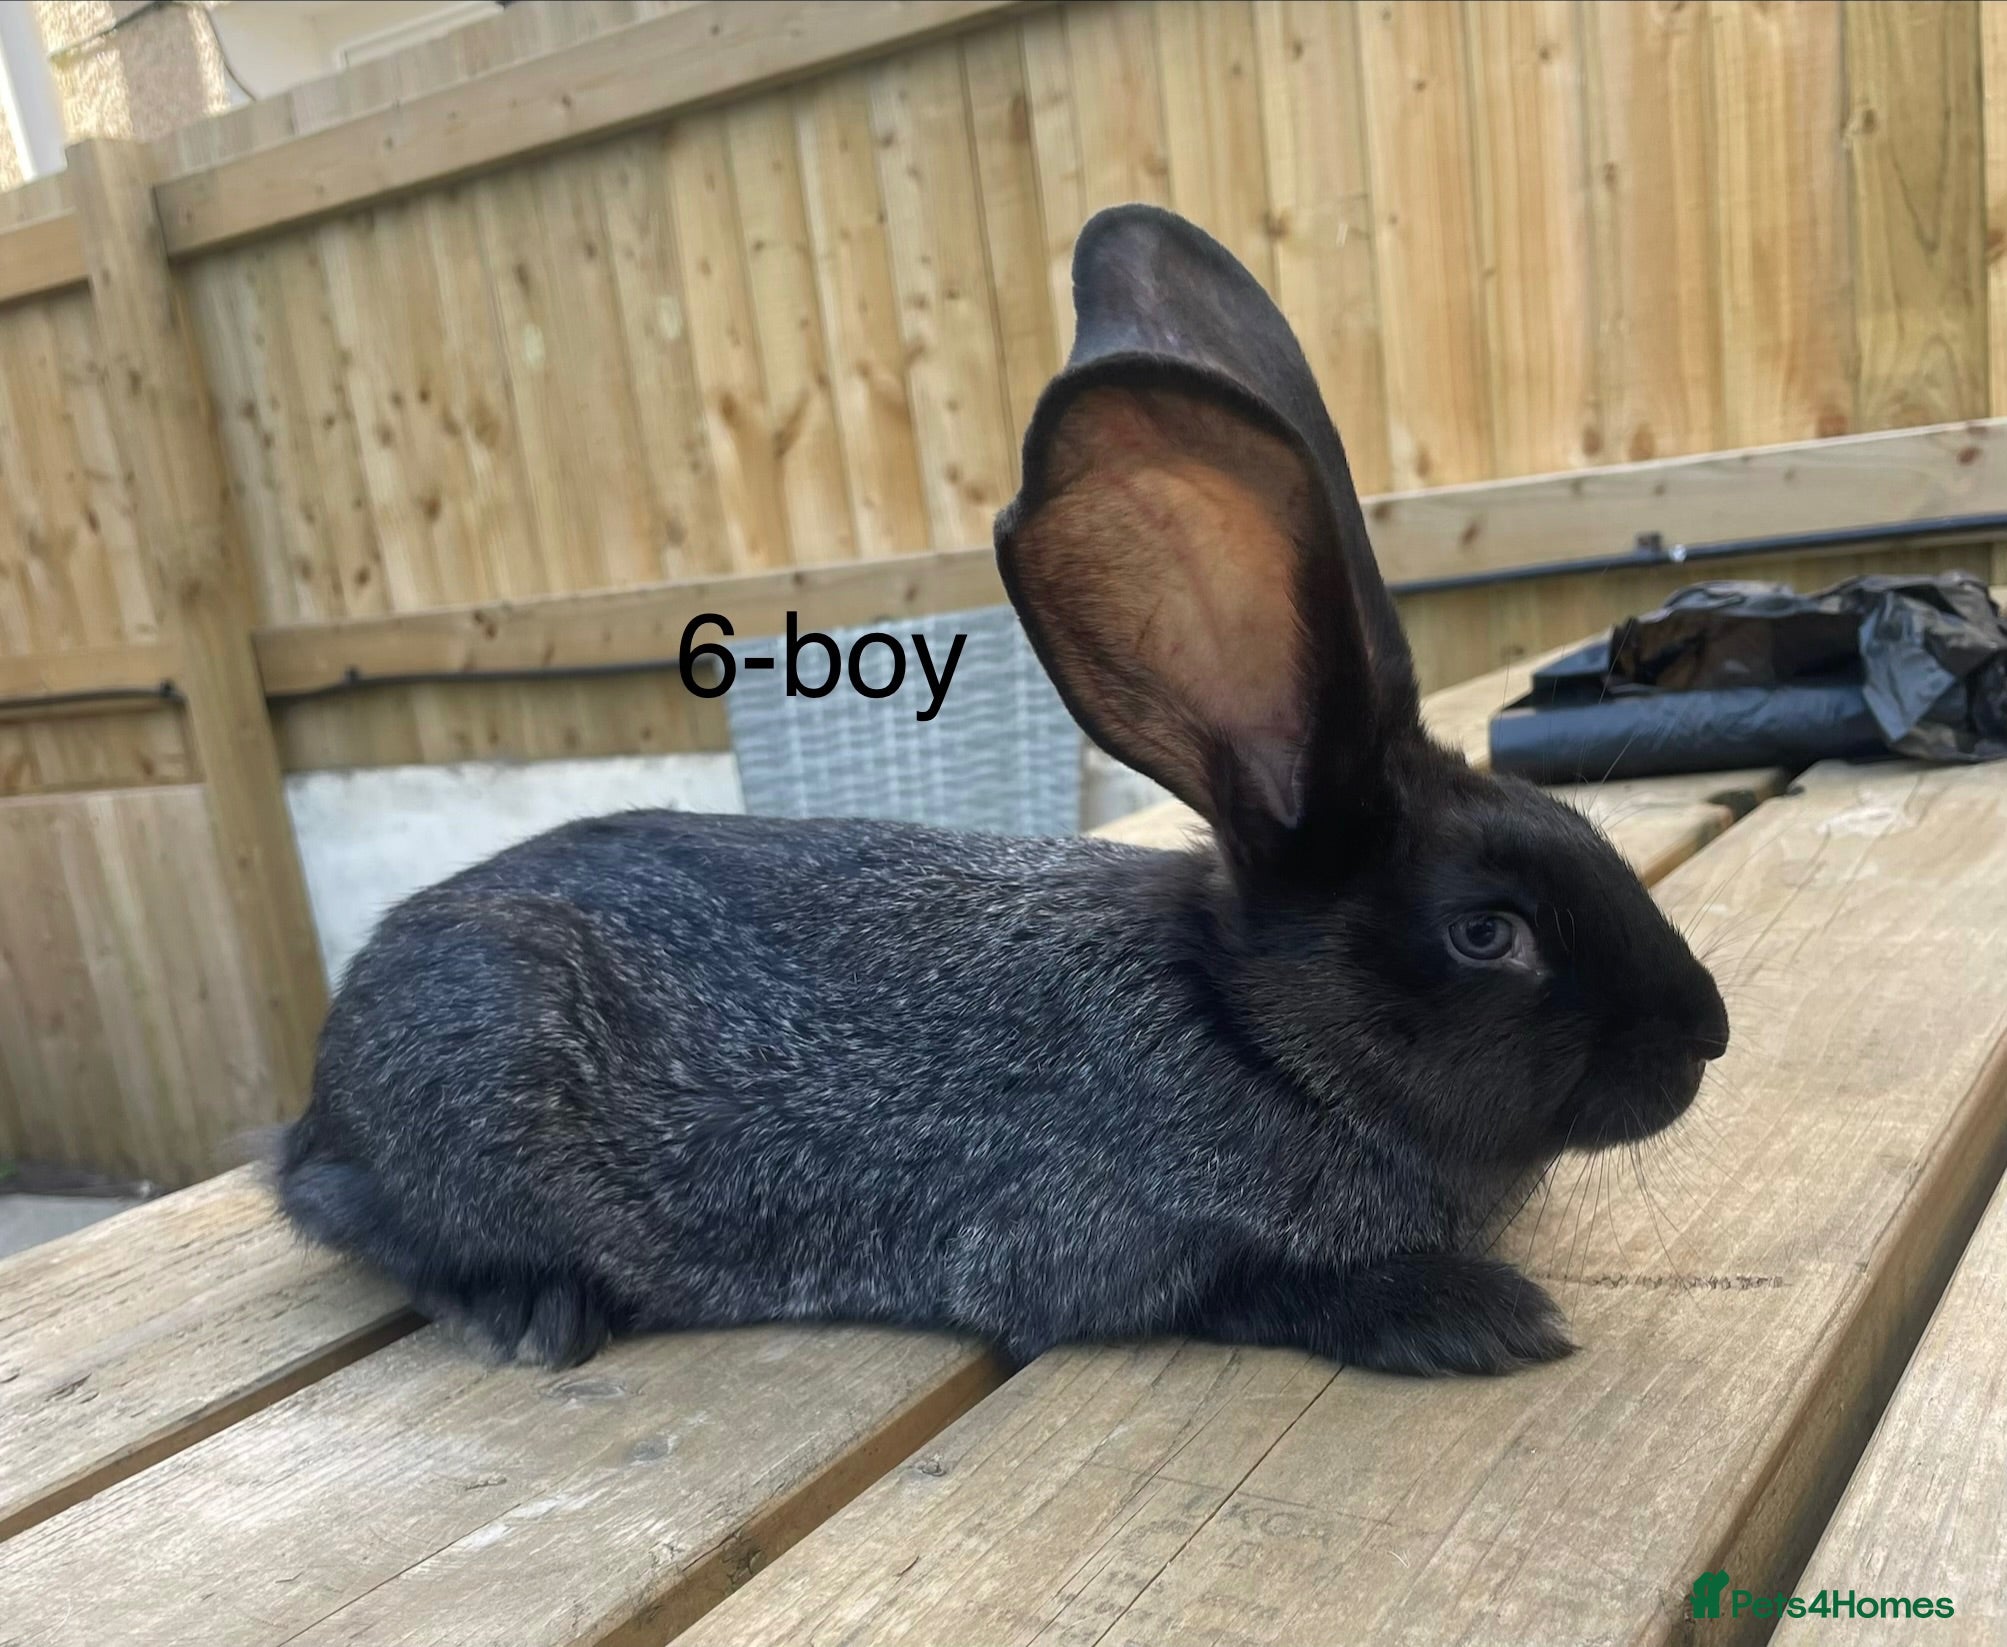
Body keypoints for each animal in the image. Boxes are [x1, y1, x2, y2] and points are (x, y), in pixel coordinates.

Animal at [276, 204, 1728, 1376]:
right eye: (1485, 931)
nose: (1706, 1033)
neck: (1253, 1037)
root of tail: (321, 1099)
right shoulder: (1110, 1250)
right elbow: (1261, 1287)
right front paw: (1475, 1315)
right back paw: (529, 1309)